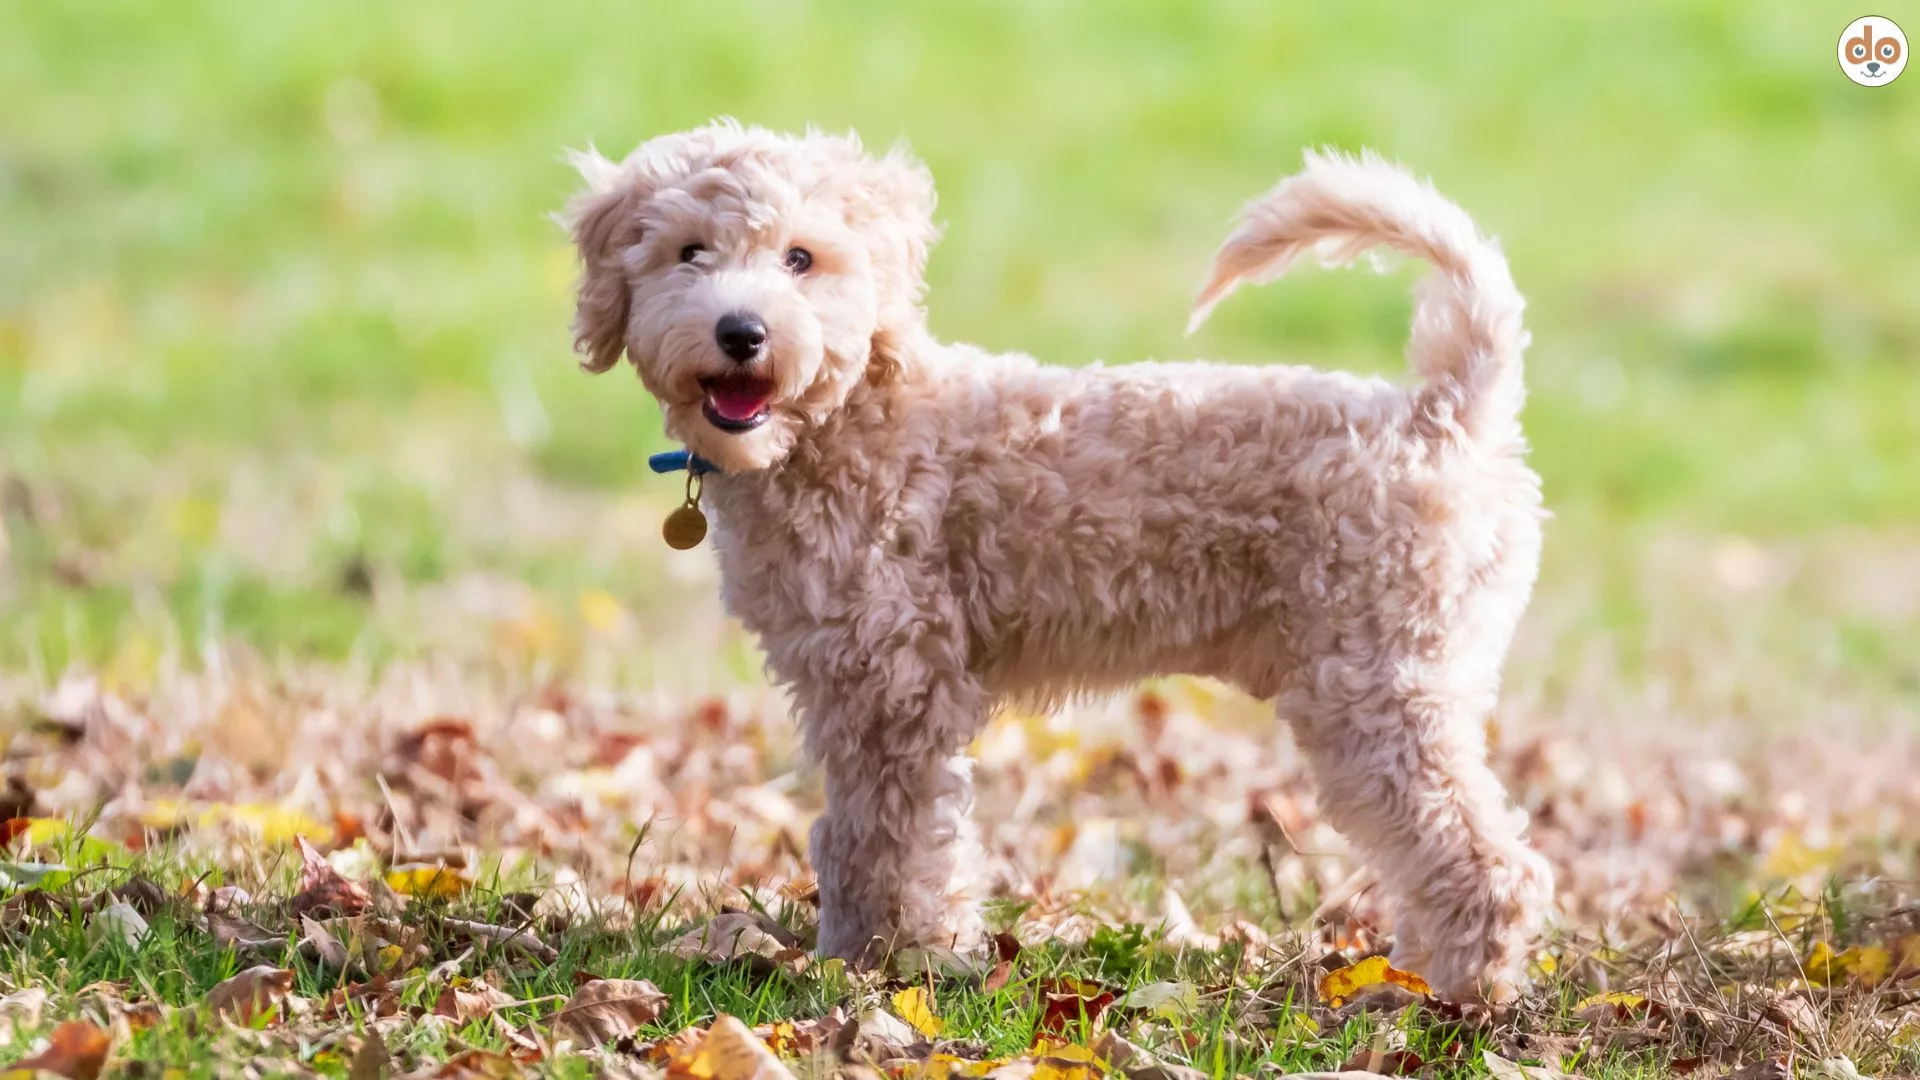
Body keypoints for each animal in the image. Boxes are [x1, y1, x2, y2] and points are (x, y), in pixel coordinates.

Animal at [560, 119, 1551, 999]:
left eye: (801, 258)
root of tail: (1446, 412)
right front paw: (856, 952)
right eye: (689, 252)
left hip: (1377, 685)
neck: (847, 420)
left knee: (1486, 857)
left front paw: (893, 963)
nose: (741, 332)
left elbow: (892, 836)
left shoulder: (897, 684)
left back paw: (1450, 996)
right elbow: (851, 834)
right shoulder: (844, 681)